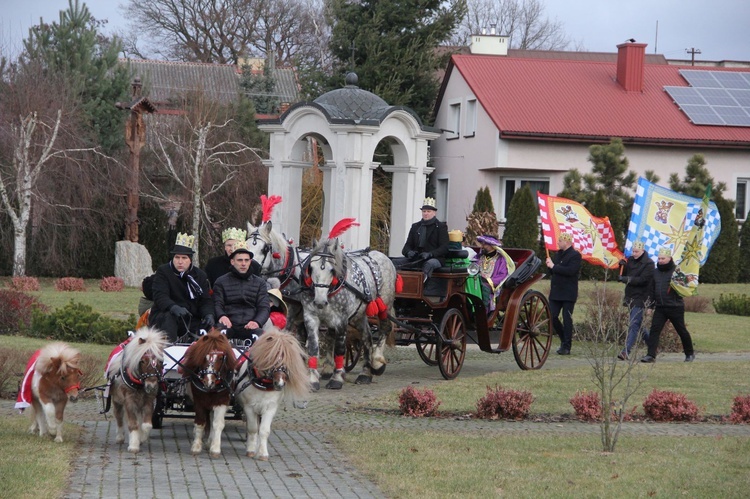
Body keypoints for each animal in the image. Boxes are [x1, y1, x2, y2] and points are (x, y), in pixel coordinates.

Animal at [181, 330, 238, 458]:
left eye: (221, 358)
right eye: (204, 356)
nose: (208, 381)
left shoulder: (221, 401)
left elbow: (217, 424)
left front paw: (215, 448)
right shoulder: (199, 401)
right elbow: (200, 423)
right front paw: (196, 447)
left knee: (212, 420)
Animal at [232, 328, 308, 460]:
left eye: (288, 360)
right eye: (271, 358)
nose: (280, 383)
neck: (263, 383)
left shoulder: (270, 408)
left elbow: (264, 430)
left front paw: (262, 453)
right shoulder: (249, 407)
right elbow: (253, 429)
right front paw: (251, 450)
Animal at [302, 236, 400, 388]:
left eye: (332, 269)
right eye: (311, 268)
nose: (319, 302)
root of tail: (384, 256)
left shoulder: (341, 320)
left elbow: (340, 348)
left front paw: (336, 378)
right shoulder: (310, 317)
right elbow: (313, 348)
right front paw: (313, 379)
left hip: (384, 306)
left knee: (385, 328)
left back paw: (377, 361)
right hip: (358, 315)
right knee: (367, 337)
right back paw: (365, 373)